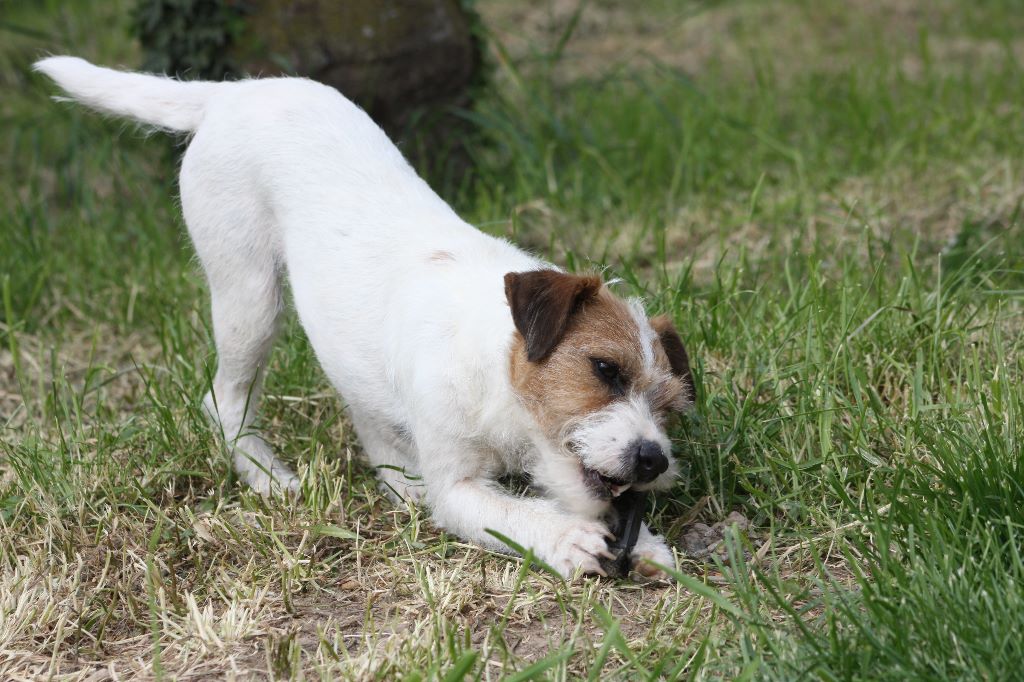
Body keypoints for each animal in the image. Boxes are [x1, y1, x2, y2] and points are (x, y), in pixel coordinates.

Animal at [37, 58, 696, 577]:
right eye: (604, 369)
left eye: (668, 405)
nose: (653, 459)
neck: (494, 369)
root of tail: (229, 94)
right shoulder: (459, 490)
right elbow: (511, 512)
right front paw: (569, 538)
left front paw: (647, 546)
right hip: (248, 299)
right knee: (224, 398)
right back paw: (268, 474)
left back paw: (394, 476)